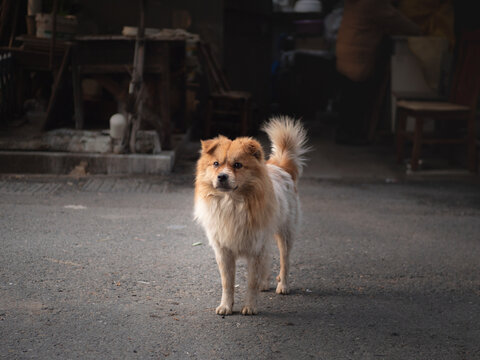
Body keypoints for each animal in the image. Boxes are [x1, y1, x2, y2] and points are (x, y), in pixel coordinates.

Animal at [194, 116, 310, 316]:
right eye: (216, 164)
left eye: (237, 165)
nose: (222, 177)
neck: (232, 203)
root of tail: (280, 167)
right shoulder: (223, 250)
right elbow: (227, 283)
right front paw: (226, 306)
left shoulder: (255, 248)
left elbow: (251, 282)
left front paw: (250, 306)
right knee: (268, 258)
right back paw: (265, 282)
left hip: (285, 234)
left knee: (285, 261)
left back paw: (283, 285)